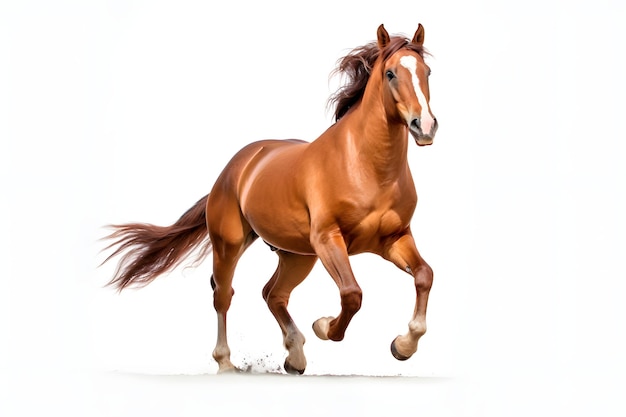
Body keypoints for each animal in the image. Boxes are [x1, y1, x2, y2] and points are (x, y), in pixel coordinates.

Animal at [101, 23, 434, 374]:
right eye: (390, 73)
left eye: (427, 71)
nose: (424, 126)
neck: (366, 167)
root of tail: (233, 169)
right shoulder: (328, 239)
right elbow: (351, 294)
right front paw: (324, 326)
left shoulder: (393, 239)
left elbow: (424, 276)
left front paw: (403, 346)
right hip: (230, 245)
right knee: (224, 294)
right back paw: (226, 363)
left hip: (298, 255)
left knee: (273, 293)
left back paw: (295, 357)